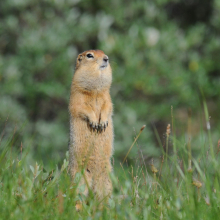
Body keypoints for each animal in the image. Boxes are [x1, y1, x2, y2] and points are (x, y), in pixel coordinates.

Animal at [69, 49, 113, 205]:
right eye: (89, 55)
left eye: (104, 53)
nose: (106, 58)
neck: (95, 91)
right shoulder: (77, 96)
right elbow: (81, 108)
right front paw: (95, 122)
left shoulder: (107, 97)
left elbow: (108, 107)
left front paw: (103, 122)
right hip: (78, 179)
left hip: (106, 181)